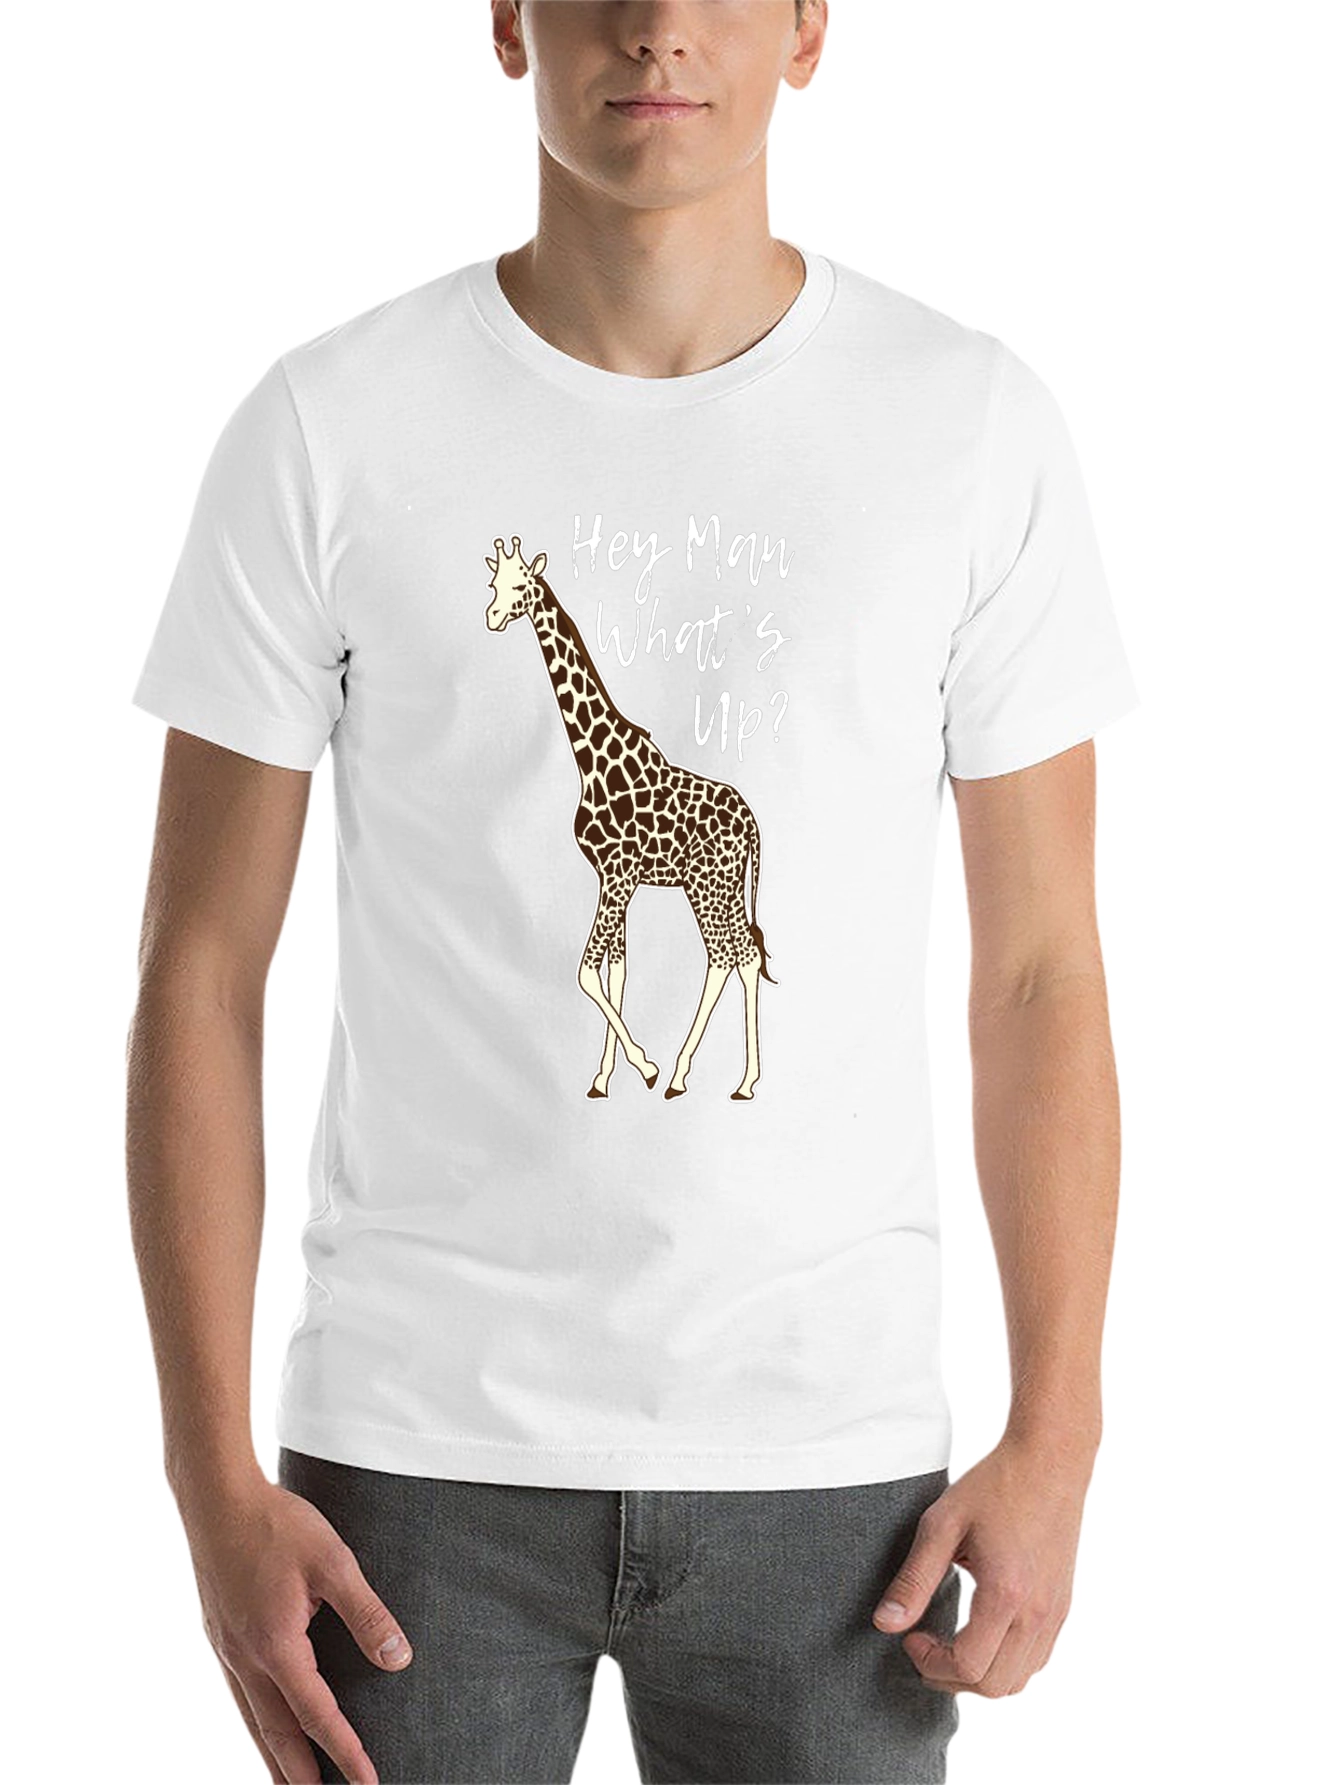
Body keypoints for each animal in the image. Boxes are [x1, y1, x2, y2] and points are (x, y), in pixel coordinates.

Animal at [482, 534, 775, 1101]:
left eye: (521, 586)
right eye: (493, 583)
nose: (492, 616)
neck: (592, 758)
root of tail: (752, 823)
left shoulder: (618, 874)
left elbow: (586, 973)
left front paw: (646, 1066)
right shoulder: (614, 877)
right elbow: (616, 971)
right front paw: (603, 1078)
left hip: (708, 885)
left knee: (725, 955)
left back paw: (684, 1075)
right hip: (720, 886)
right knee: (746, 954)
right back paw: (745, 1080)